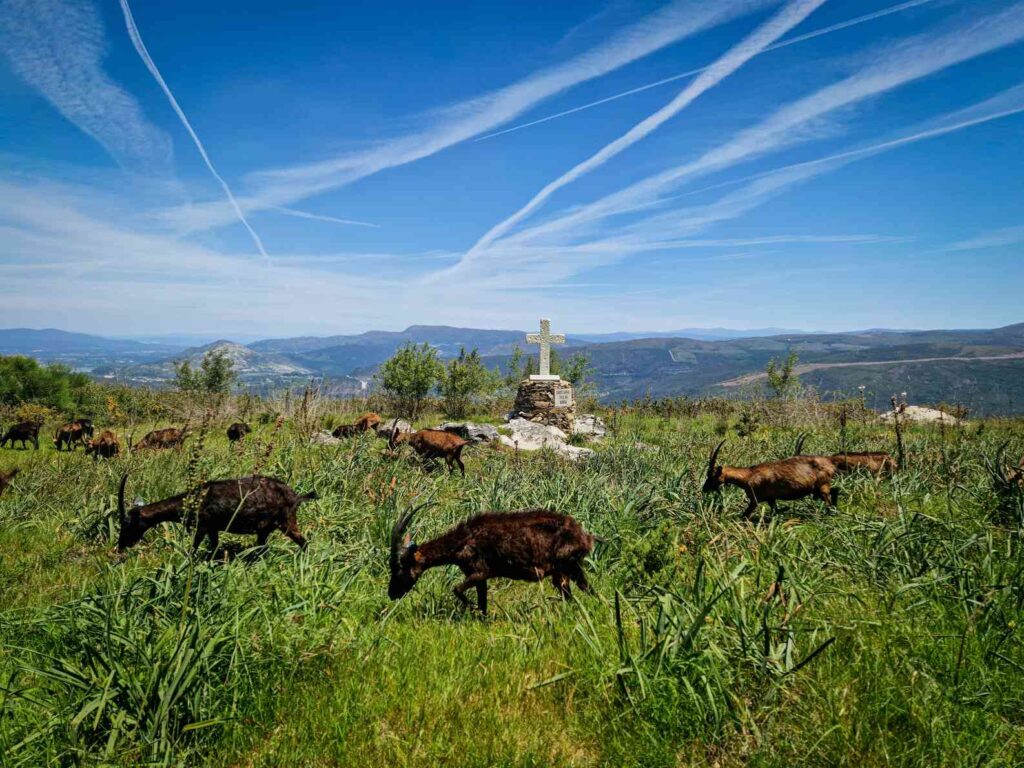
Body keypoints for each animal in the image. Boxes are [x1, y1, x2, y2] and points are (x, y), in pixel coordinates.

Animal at [117, 475, 315, 552]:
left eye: (127, 523)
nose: (121, 546)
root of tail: (296, 496)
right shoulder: (212, 529)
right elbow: (214, 546)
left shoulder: (203, 526)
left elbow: (194, 548)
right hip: (265, 529)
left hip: (286, 521)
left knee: (304, 542)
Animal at [387, 505, 598, 614]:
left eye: (400, 568)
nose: (391, 594)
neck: (463, 540)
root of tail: (585, 537)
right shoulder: (479, 577)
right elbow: (483, 603)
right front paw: (481, 617)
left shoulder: (480, 571)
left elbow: (456, 589)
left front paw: (472, 608)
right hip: (564, 571)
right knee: (579, 593)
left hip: (568, 566)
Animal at [704, 442, 839, 520]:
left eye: (711, 475)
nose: (704, 489)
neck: (749, 475)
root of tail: (830, 463)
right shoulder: (771, 499)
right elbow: (775, 512)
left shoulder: (755, 500)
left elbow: (744, 515)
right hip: (819, 488)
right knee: (834, 492)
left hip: (822, 486)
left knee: (829, 500)